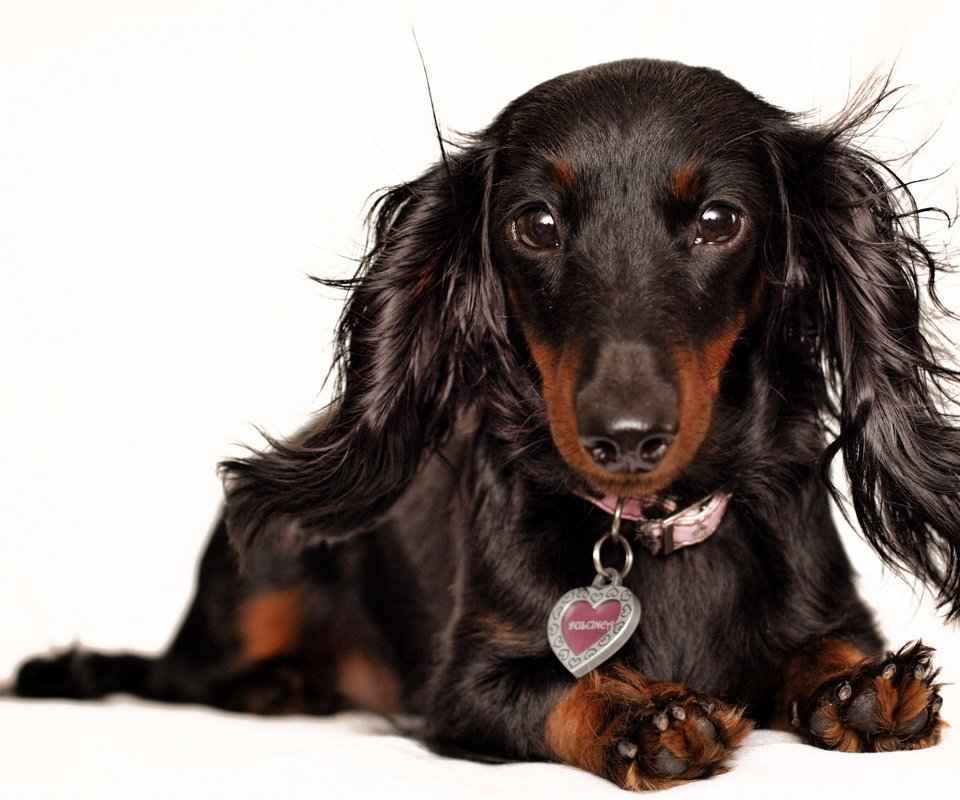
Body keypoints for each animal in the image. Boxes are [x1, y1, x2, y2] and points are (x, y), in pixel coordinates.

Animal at [11, 61, 956, 788]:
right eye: (534, 223)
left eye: (720, 220)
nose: (625, 436)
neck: (654, 531)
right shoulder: (464, 686)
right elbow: (556, 689)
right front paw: (642, 716)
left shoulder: (832, 611)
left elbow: (825, 650)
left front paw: (859, 690)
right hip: (261, 576)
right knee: (185, 677)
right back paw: (276, 685)